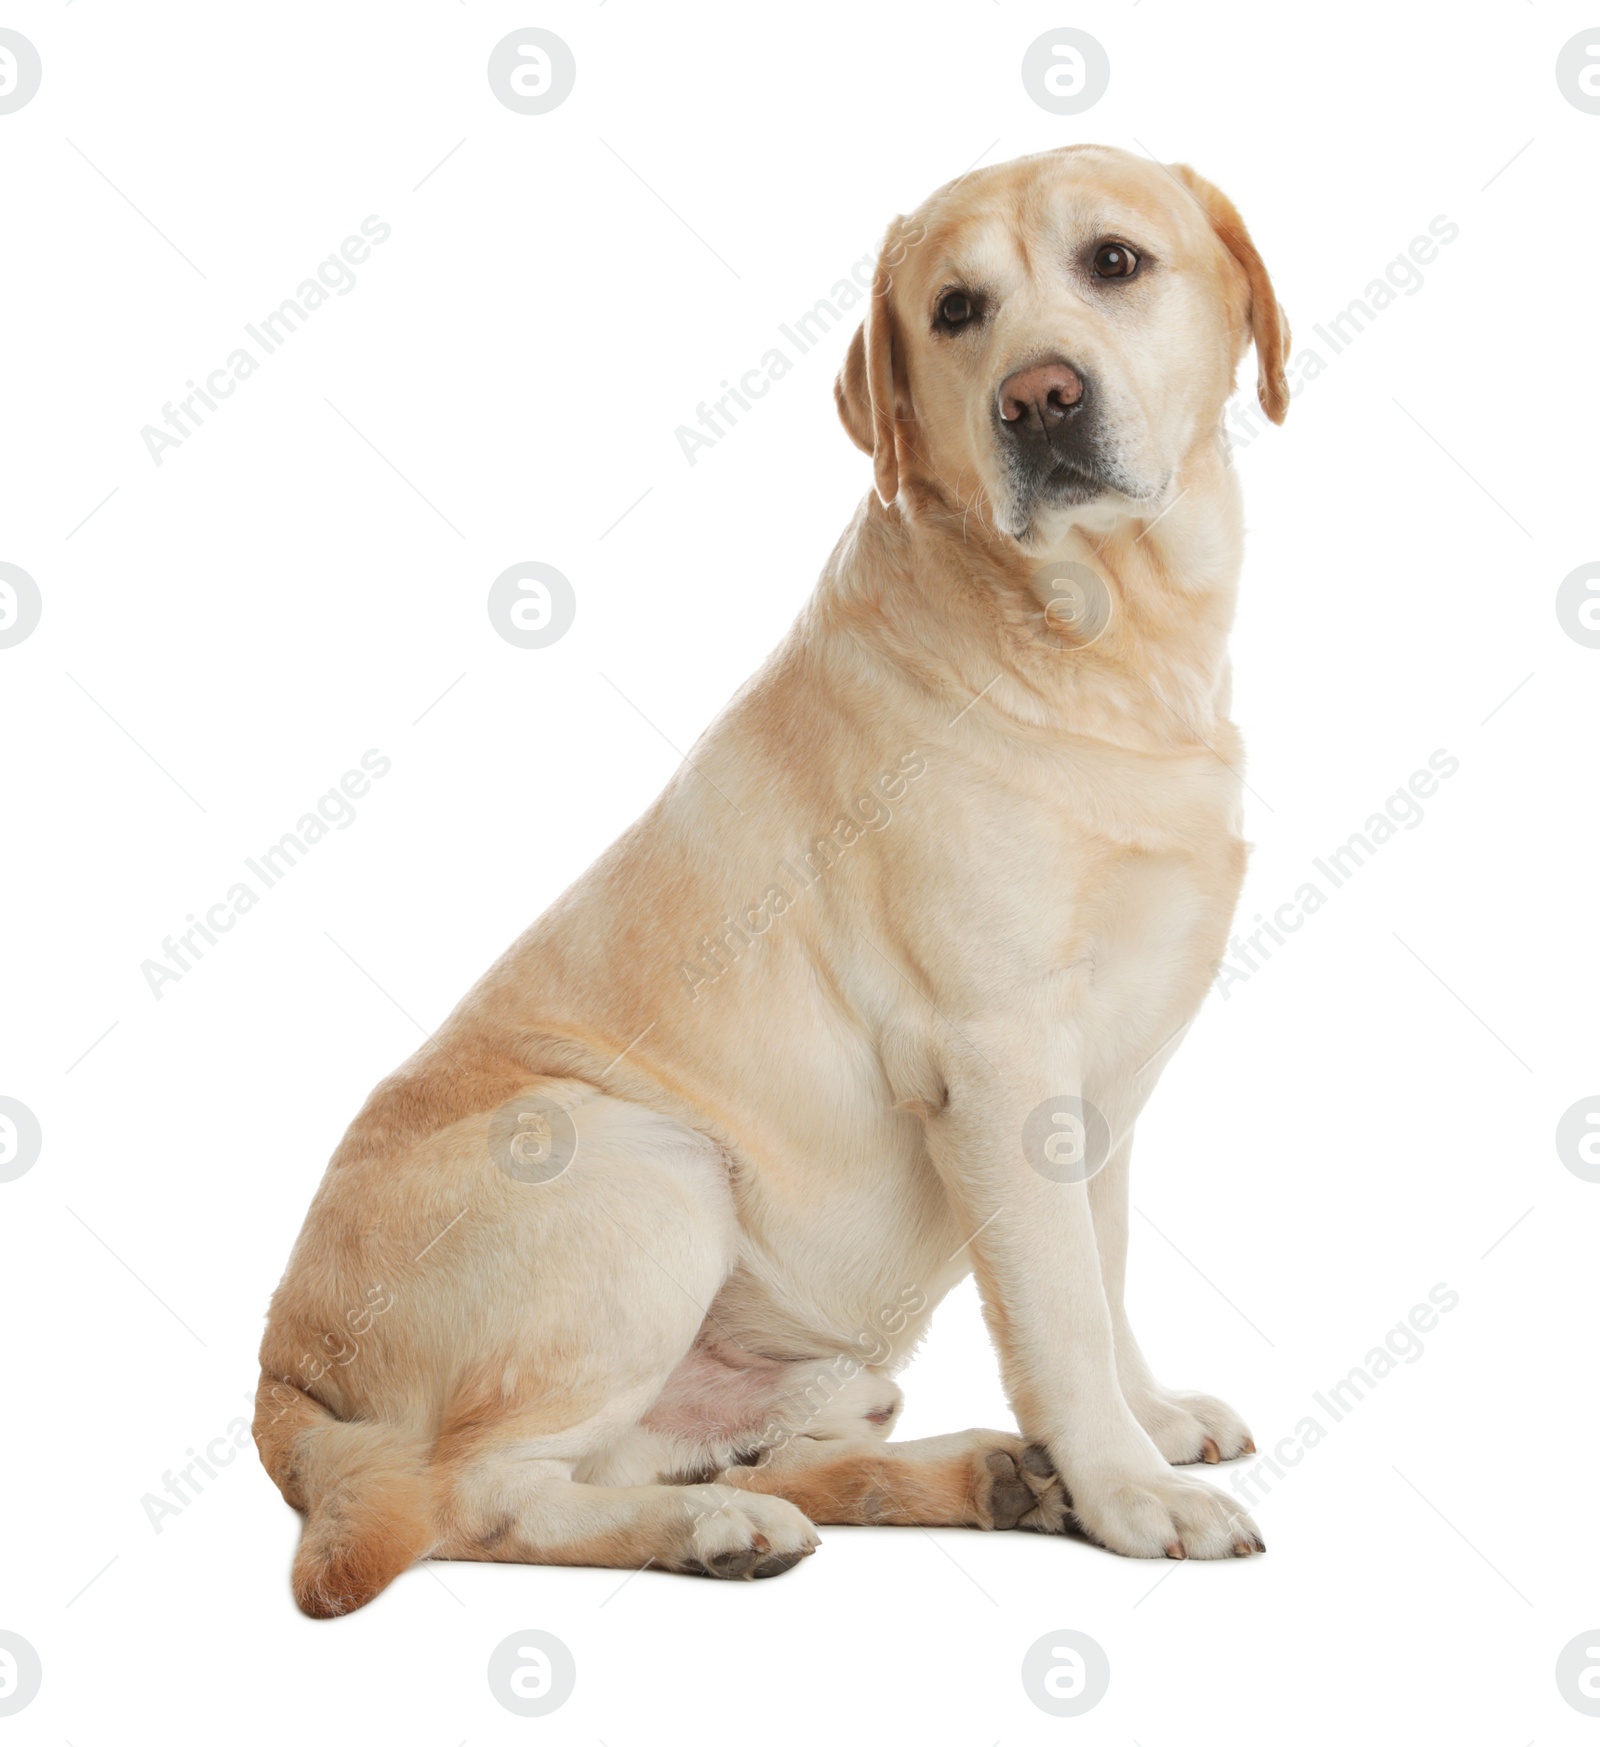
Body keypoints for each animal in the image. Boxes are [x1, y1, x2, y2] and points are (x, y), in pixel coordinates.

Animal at [258, 143, 1285, 1614]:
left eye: (1116, 264)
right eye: (957, 310)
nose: (1038, 397)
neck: (1107, 644)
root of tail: (281, 1376)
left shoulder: (1107, 1073)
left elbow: (1105, 1267)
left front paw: (1140, 1427)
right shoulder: (997, 1056)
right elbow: (1062, 1308)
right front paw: (1130, 1485)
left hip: (809, 1361)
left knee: (752, 1454)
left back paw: (977, 1475)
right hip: (652, 1165)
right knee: (484, 1496)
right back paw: (717, 1527)